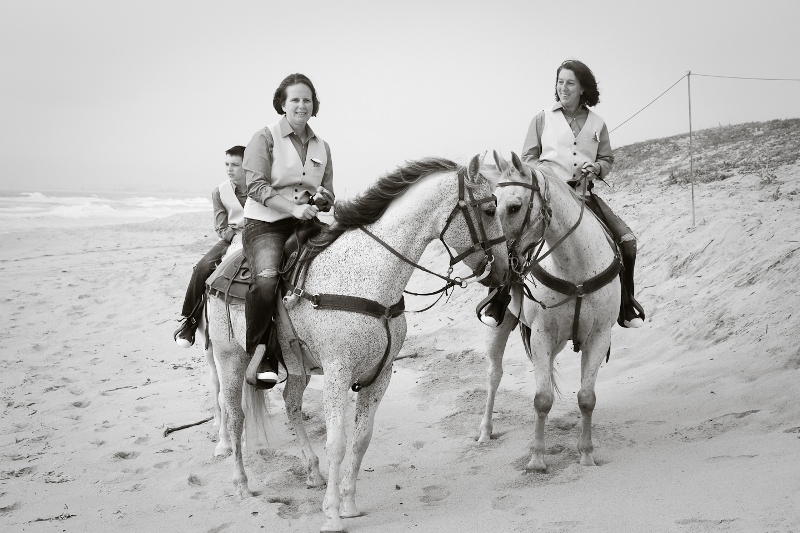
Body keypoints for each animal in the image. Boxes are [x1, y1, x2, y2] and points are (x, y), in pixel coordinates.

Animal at [206, 155, 506, 532]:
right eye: (490, 209)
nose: (504, 270)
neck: (372, 279)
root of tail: (222, 268)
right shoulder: (338, 372)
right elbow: (337, 442)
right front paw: (332, 515)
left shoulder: (381, 374)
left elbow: (361, 439)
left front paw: (347, 504)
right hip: (230, 359)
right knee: (234, 416)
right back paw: (242, 485)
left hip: (298, 365)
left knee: (291, 405)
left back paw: (312, 472)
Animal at [478, 152, 620, 472]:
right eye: (491, 206)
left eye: (514, 206)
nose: (494, 263)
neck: (576, 267)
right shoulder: (542, 334)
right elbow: (542, 398)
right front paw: (537, 458)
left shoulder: (599, 336)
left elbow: (586, 398)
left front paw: (586, 454)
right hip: (500, 326)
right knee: (493, 374)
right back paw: (485, 431)